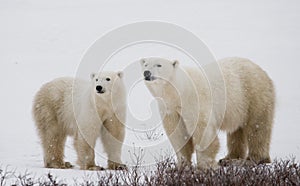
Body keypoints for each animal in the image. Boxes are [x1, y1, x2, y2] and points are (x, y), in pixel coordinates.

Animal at [140, 57, 274, 169]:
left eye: (159, 65)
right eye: (146, 64)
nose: (147, 72)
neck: (179, 93)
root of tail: (262, 71)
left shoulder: (195, 101)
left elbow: (203, 130)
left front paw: (204, 166)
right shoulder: (170, 109)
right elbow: (178, 134)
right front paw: (181, 166)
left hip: (253, 95)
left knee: (257, 127)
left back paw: (252, 160)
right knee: (236, 130)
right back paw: (229, 159)